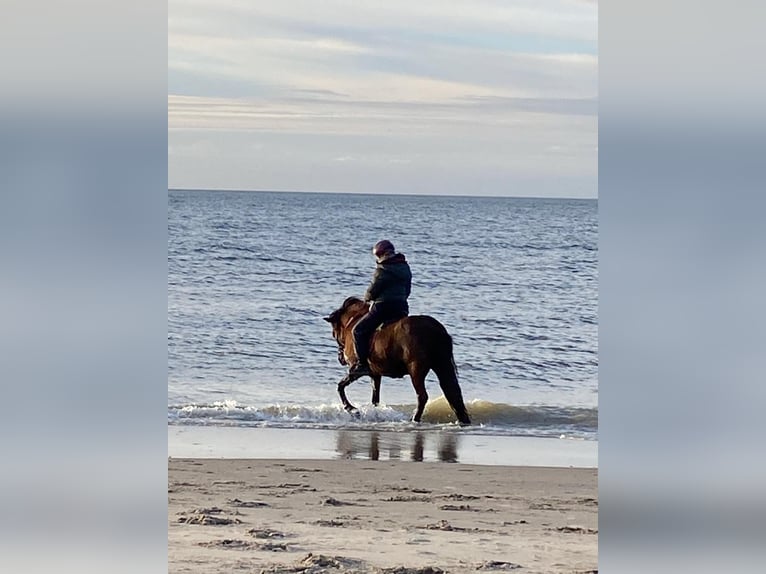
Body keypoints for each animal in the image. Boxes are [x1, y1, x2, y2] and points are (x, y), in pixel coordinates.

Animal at [322, 296, 472, 428]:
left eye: (334, 332)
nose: (341, 358)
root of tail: (437, 330)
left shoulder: (356, 371)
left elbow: (341, 386)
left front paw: (352, 409)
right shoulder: (375, 374)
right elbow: (375, 398)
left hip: (416, 371)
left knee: (422, 396)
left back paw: (414, 419)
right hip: (442, 366)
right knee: (453, 394)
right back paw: (463, 420)